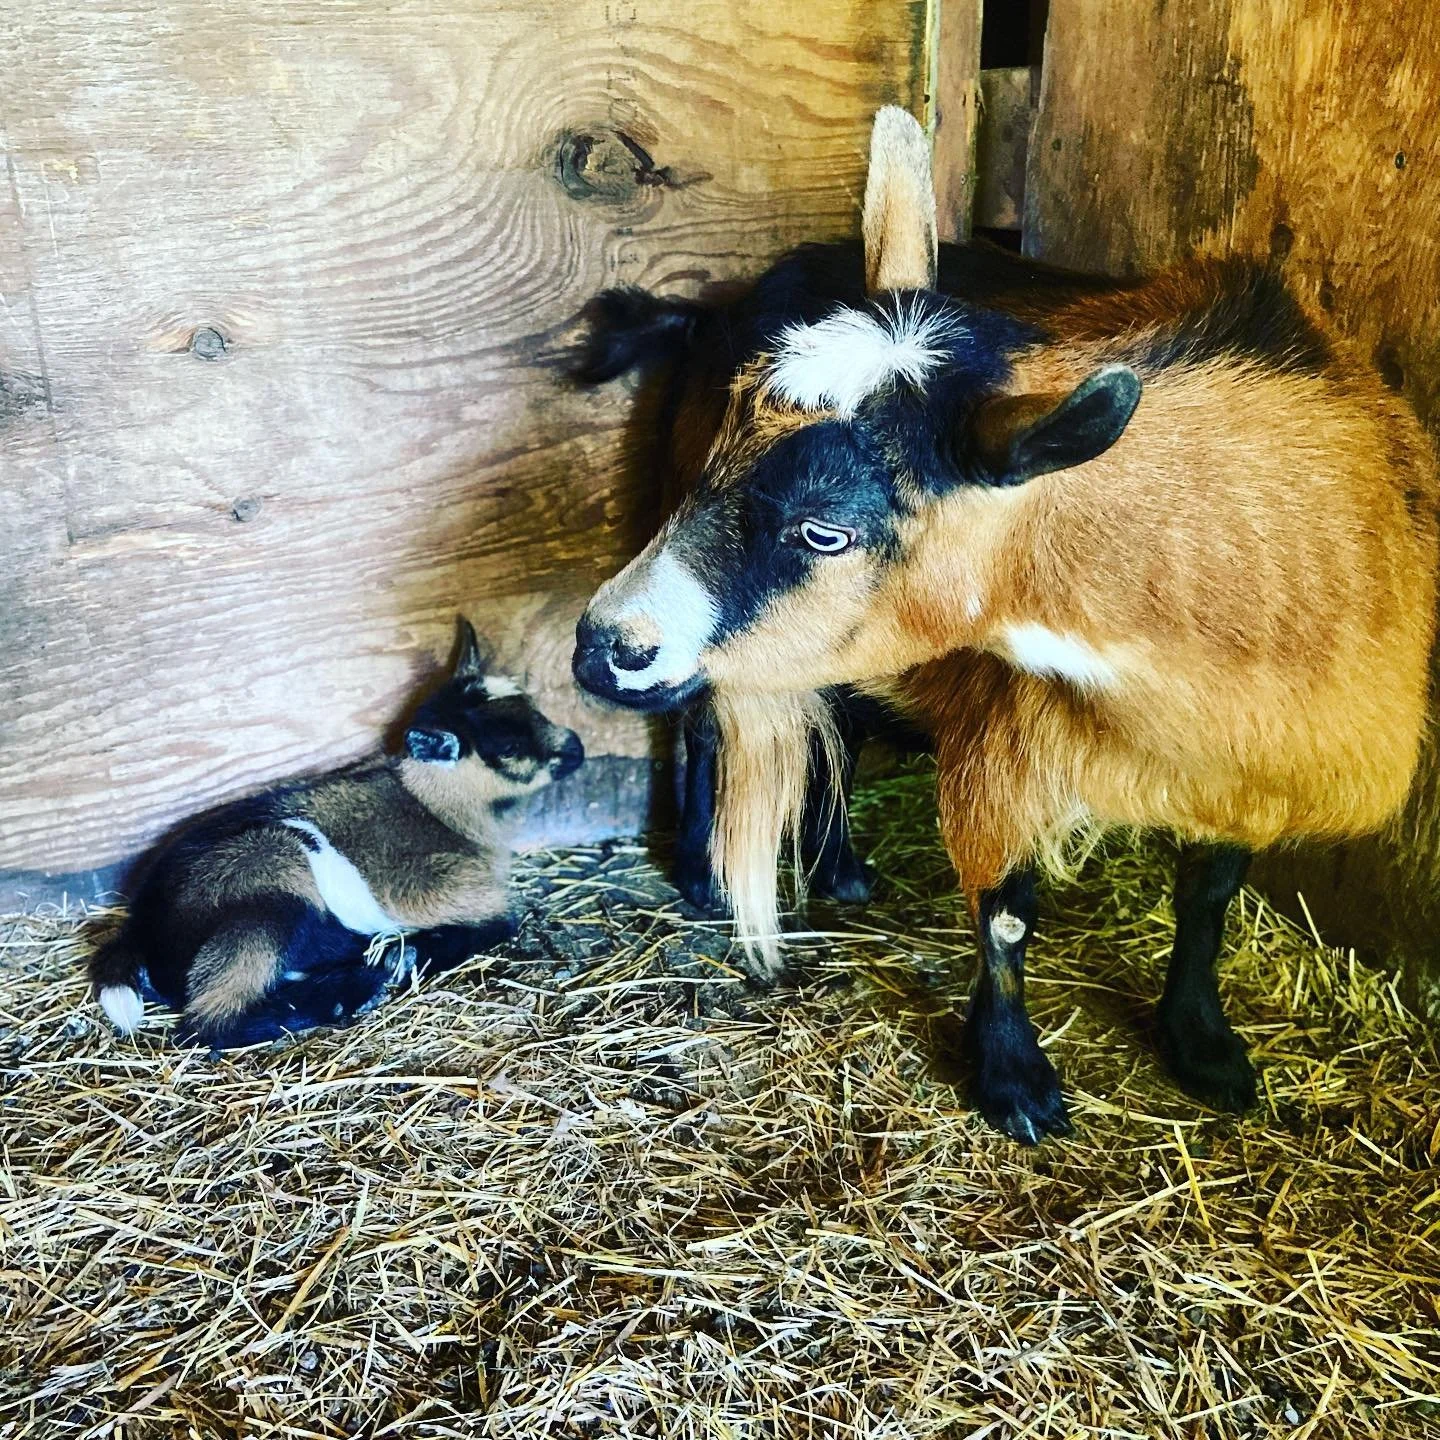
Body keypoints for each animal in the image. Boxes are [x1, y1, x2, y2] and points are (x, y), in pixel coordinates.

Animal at [92, 619, 584, 1048]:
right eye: (508, 747)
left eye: (533, 705)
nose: (577, 748)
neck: (437, 809)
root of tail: (141, 927)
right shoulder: (463, 892)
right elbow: (502, 921)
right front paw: (405, 955)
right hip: (267, 887)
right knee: (209, 1022)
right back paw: (356, 991)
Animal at [573, 107, 1439, 1142]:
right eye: (724, 456)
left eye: (826, 529)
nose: (599, 644)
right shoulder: (1009, 735)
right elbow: (1007, 912)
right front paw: (1015, 1078)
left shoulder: (1251, 759)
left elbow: (1209, 897)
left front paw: (1203, 1043)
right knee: (708, 723)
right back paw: (709, 875)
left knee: (836, 720)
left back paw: (841, 868)